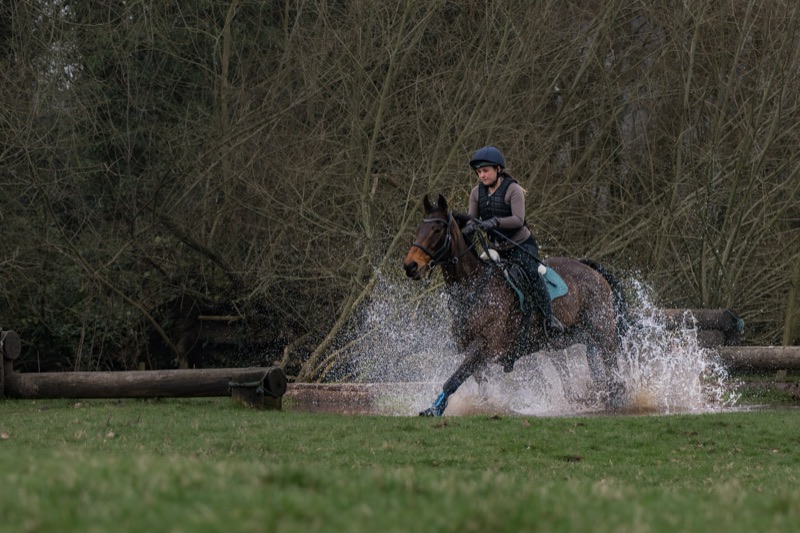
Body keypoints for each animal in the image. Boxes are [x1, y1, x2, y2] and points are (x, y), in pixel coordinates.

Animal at [403, 194, 629, 416]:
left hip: (602, 330)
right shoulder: (472, 350)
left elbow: (454, 379)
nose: (410, 266)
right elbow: (478, 383)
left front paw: (434, 409)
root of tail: (590, 269)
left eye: (437, 230)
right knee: (589, 361)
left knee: (611, 365)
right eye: (418, 229)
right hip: (568, 337)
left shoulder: (485, 346)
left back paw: (615, 397)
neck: (474, 287)